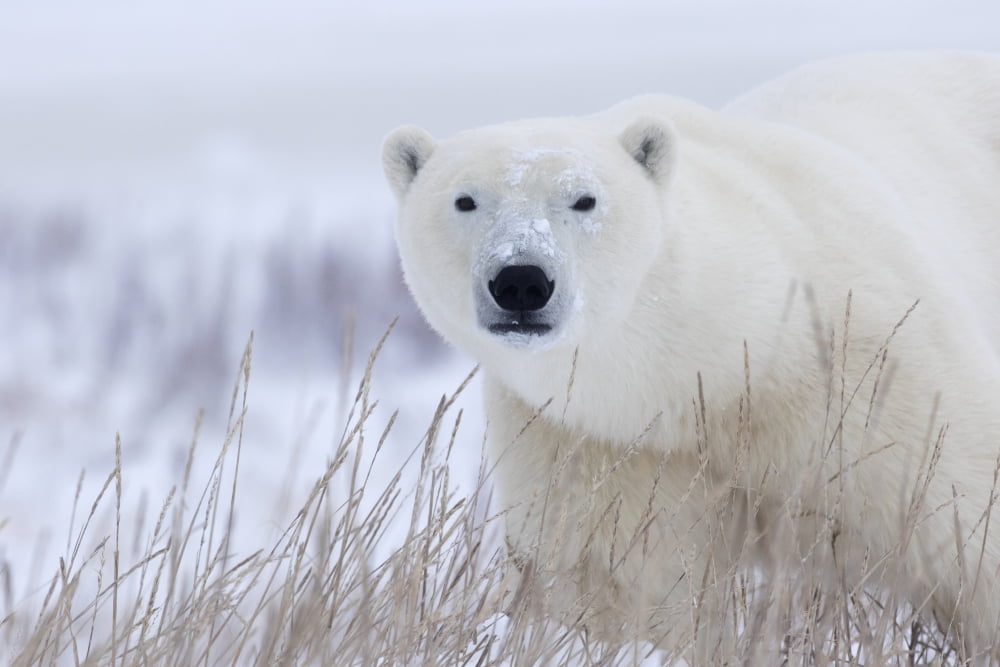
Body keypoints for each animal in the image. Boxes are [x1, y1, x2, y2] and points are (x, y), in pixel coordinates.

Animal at [382, 52, 1000, 662]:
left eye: (584, 199)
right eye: (465, 200)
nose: (521, 281)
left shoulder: (872, 378)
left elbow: (967, 528)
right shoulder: (604, 441)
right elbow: (621, 580)